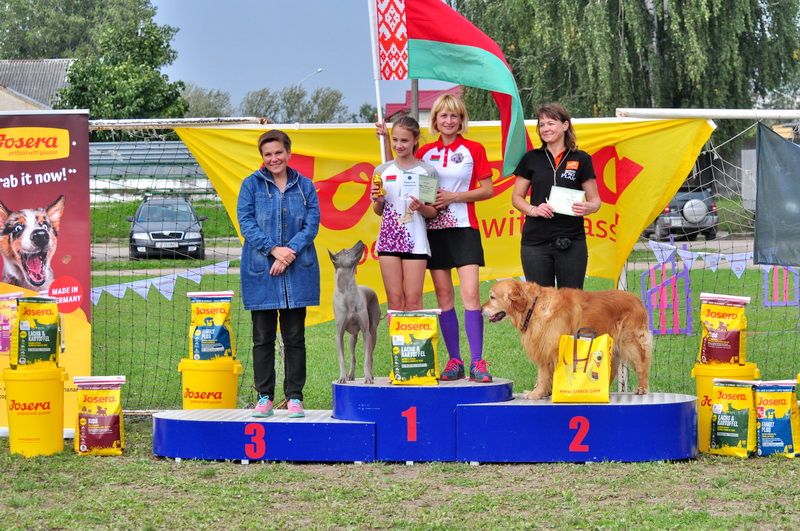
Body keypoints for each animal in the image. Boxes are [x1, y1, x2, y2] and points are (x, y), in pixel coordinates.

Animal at [329, 241, 381, 384]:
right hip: (352, 337)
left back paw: (371, 375)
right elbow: (342, 360)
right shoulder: (339, 335)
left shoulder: (366, 333)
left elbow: (367, 358)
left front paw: (367, 377)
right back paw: (351, 375)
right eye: (346, 252)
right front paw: (342, 377)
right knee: (352, 356)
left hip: (373, 332)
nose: (360, 242)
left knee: (370, 355)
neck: (348, 292)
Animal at [481, 278, 652, 399]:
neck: (533, 307)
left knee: (642, 365)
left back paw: (642, 388)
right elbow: (542, 376)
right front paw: (538, 393)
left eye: (492, 297)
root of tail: (637, 299)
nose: (481, 309)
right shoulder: (544, 348)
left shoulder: (558, 350)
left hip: (631, 342)